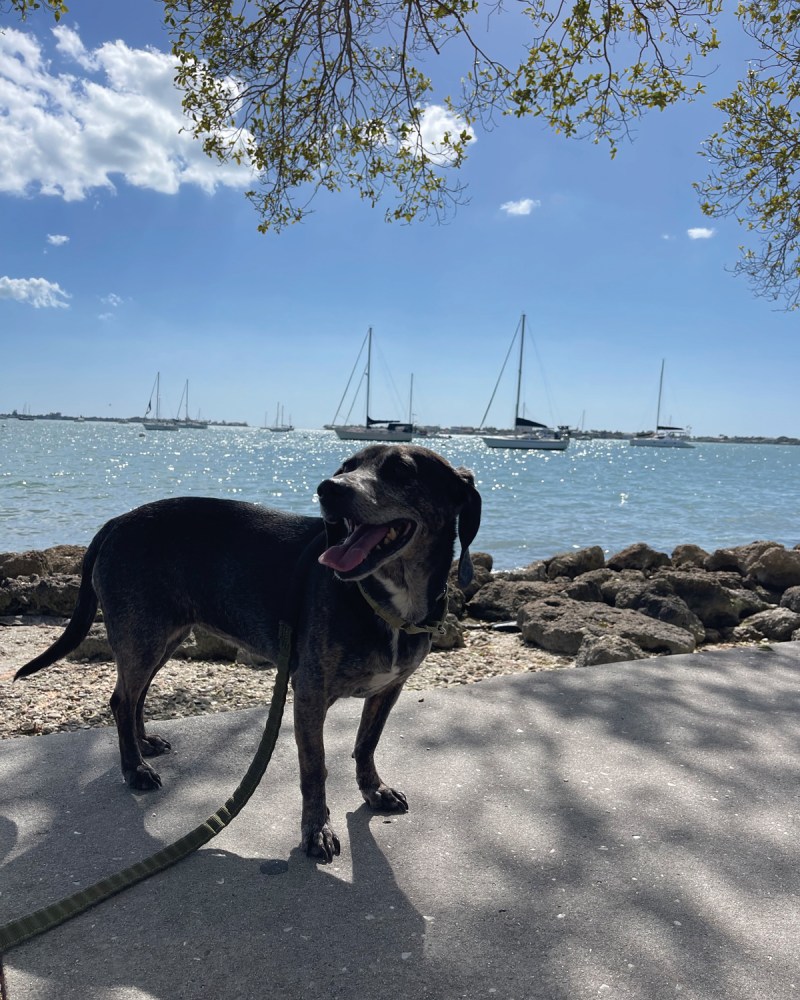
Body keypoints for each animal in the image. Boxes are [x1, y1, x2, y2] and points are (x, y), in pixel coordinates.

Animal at [15, 444, 482, 860]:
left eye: (402, 471)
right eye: (346, 466)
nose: (328, 489)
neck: (383, 601)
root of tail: (116, 521)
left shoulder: (389, 689)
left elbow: (367, 742)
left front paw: (374, 790)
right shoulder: (309, 695)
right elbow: (315, 769)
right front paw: (317, 829)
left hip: (162, 637)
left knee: (135, 696)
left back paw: (144, 743)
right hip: (142, 636)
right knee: (121, 699)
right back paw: (134, 769)